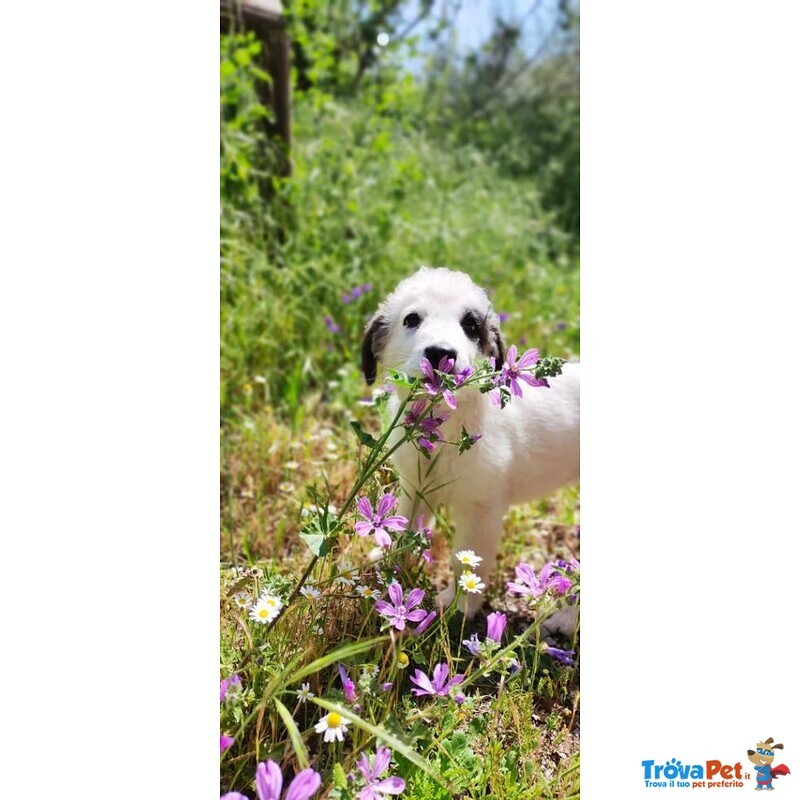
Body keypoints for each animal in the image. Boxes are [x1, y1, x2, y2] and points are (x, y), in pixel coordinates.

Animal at [360, 266, 580, 620]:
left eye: (471, 326)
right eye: (411, 319)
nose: (440, 353)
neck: (443, 425)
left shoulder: (481, 510)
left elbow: (467, 560)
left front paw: (460, 603)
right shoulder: (415, 487)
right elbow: (406, 528)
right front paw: (390, 562)